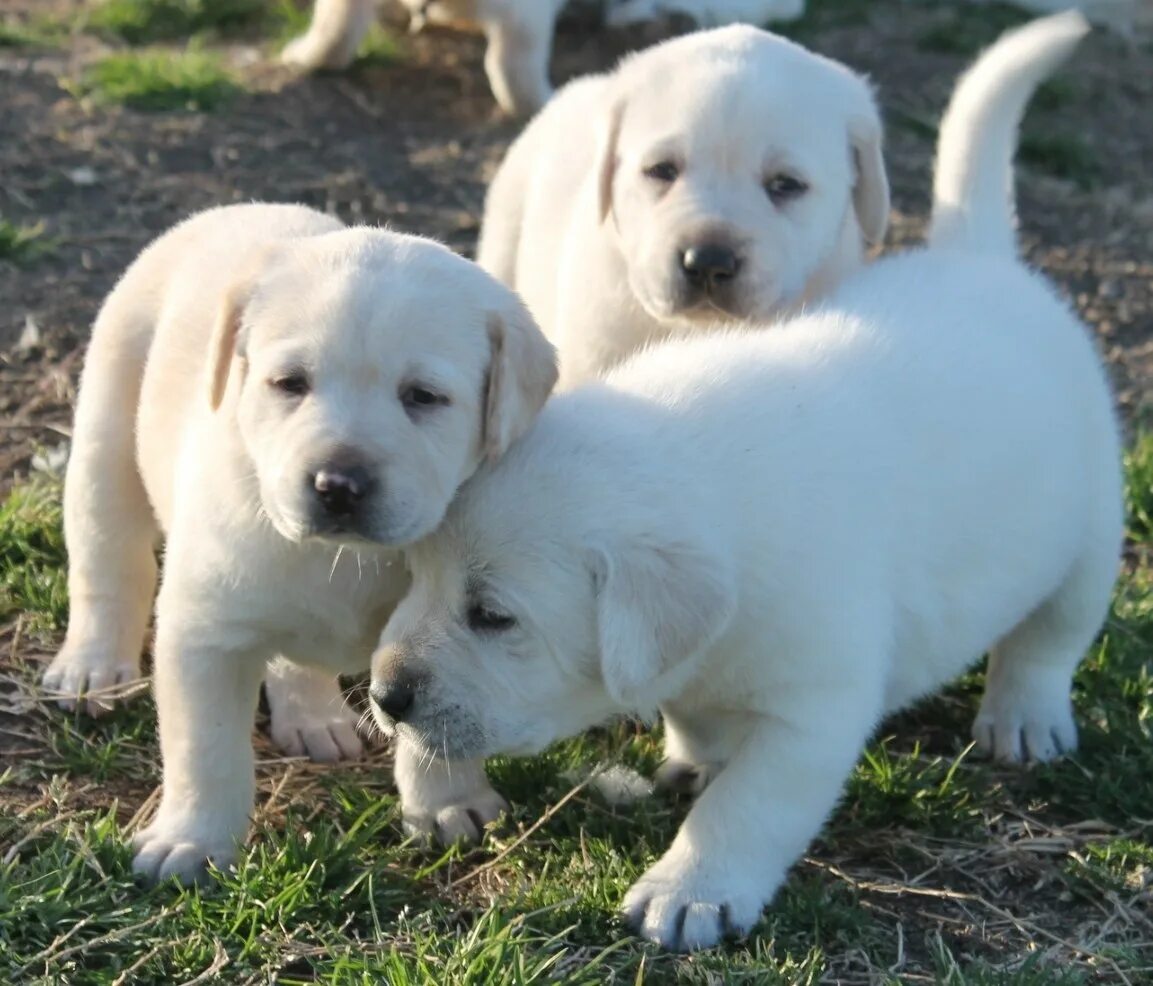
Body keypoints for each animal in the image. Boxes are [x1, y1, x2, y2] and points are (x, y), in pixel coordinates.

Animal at [47, 204, 560, 881]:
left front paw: (449, 801)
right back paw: (92, 666)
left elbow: (437, 718)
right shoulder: (204, 634)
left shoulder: (451, 632)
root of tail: (233, 209)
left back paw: (313, 717)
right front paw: (191, 840)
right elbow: (205, 751)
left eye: (424, 397)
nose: (338, 484)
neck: (349, 557)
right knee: (108, 563)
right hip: (107, 424)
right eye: (290, 383)